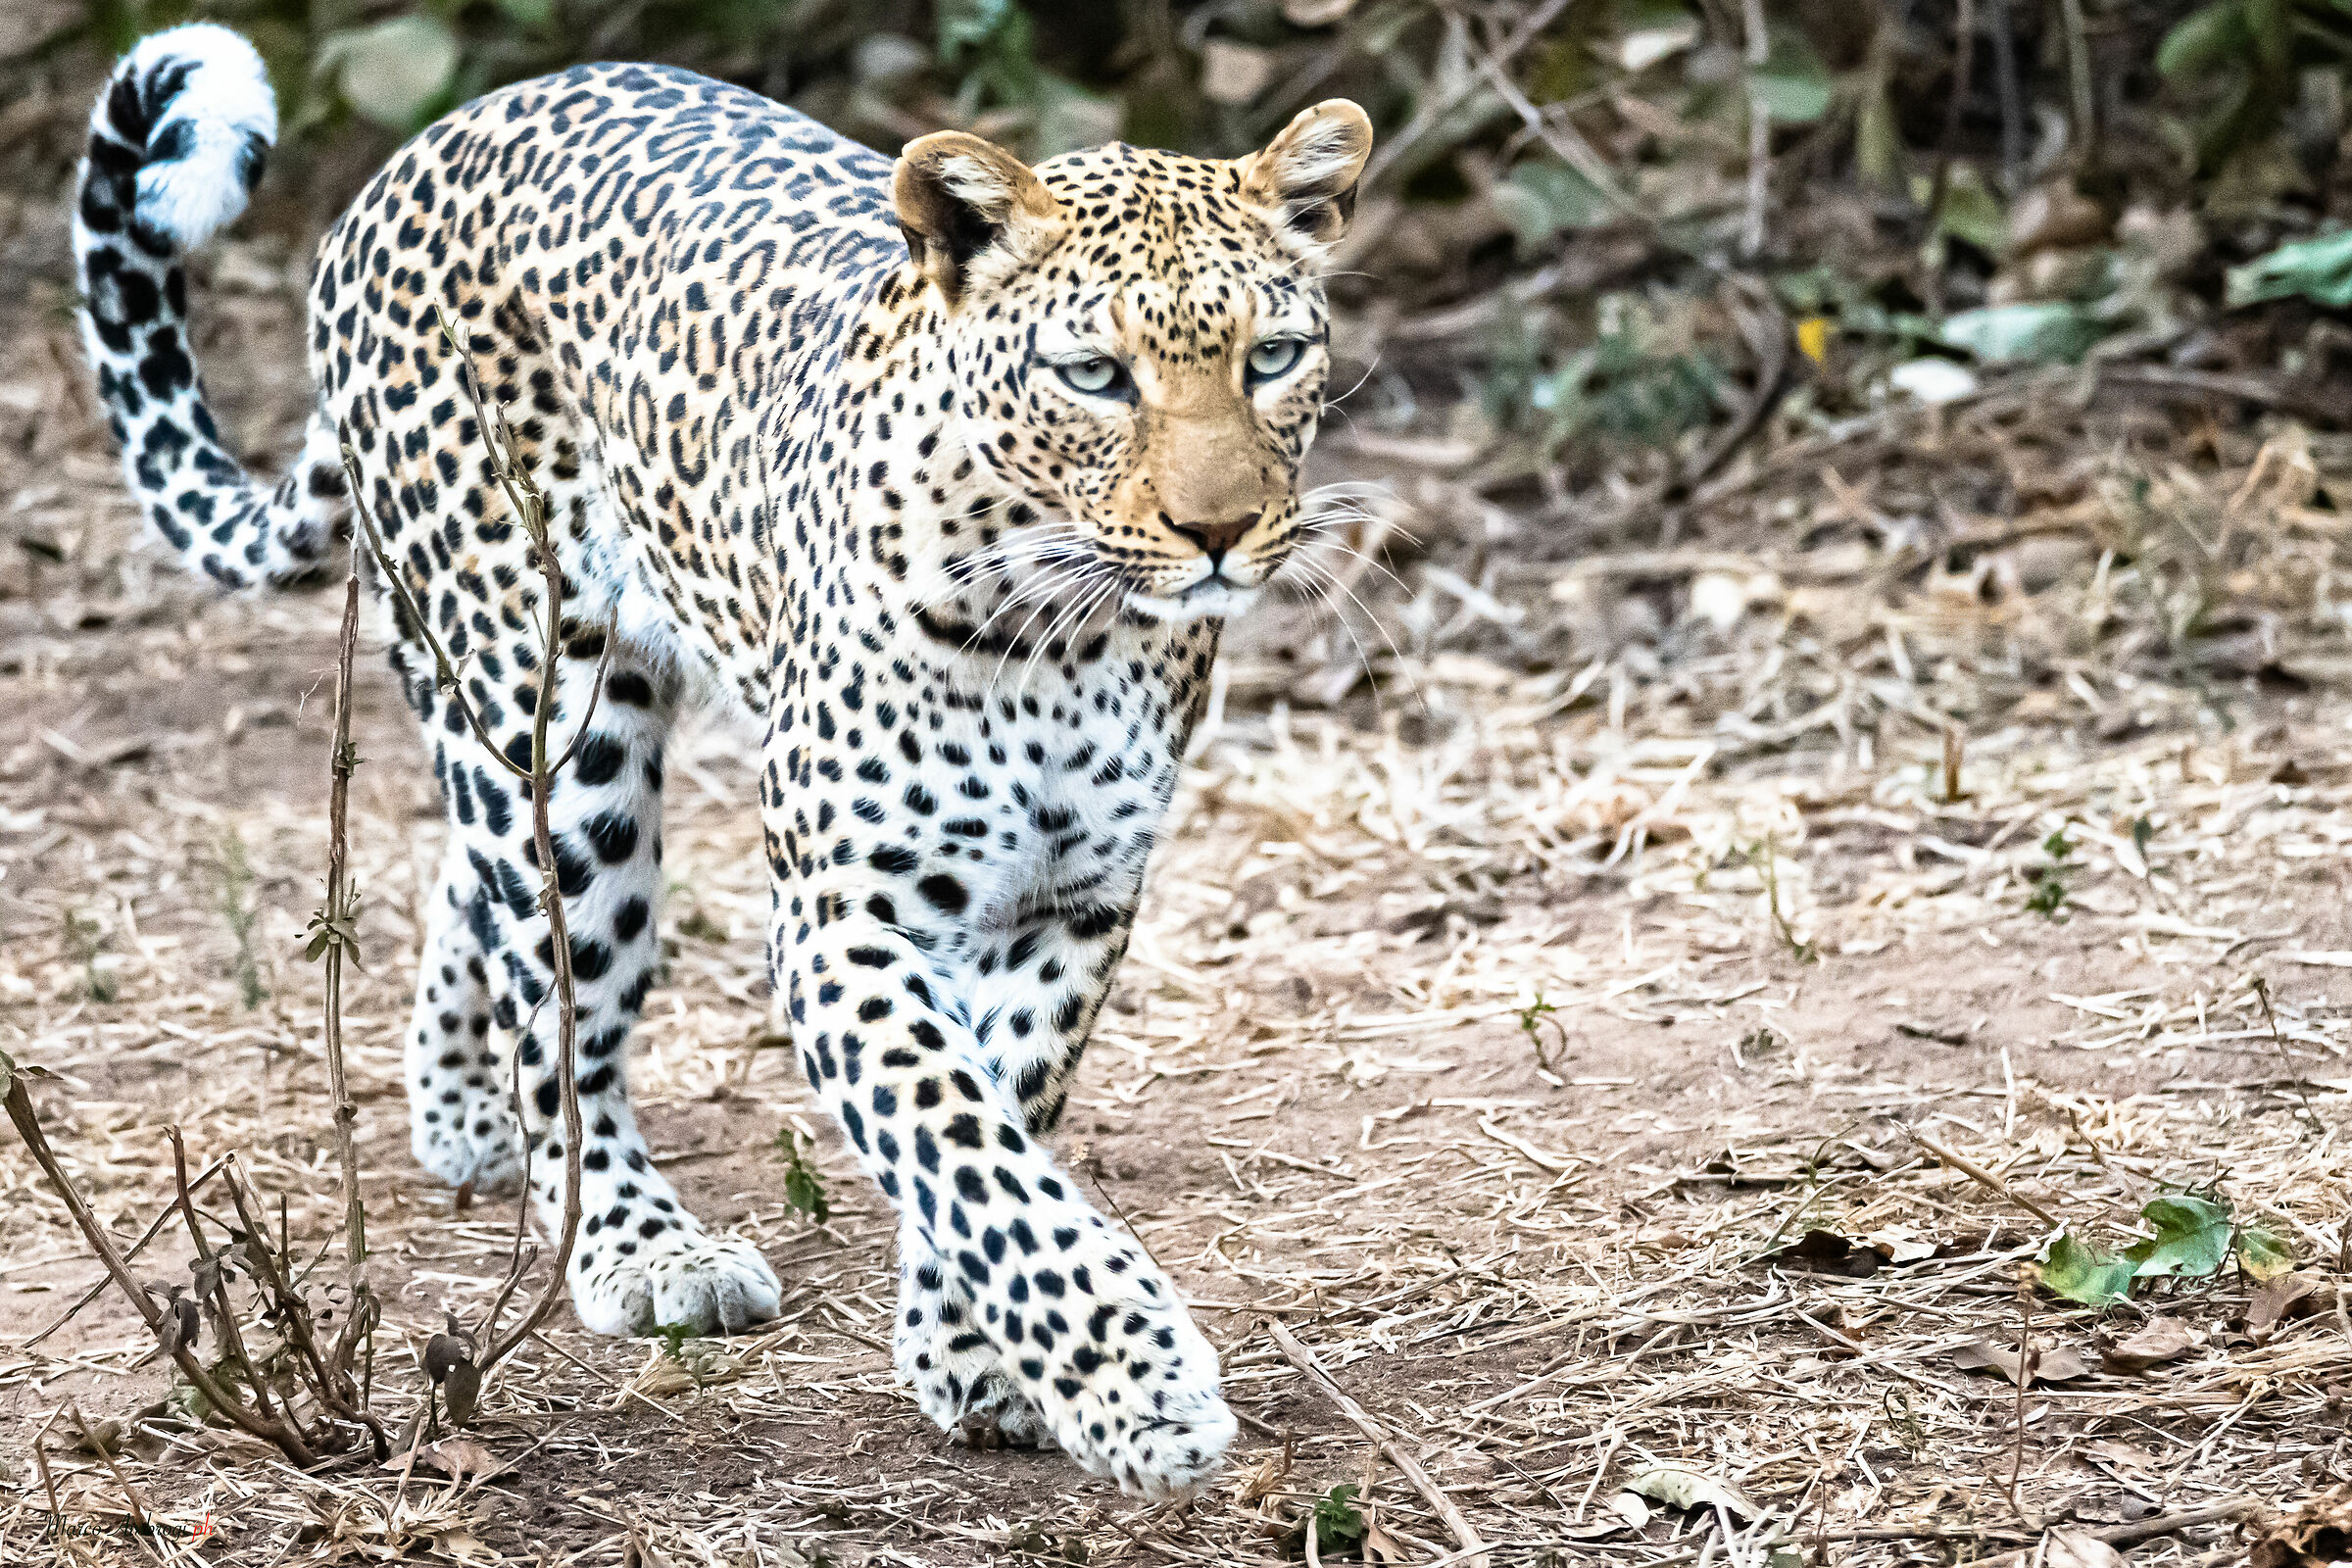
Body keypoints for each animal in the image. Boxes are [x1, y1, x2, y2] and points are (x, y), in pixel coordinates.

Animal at [72, 22, 1372, 1497]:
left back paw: (459, 1110)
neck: (1067, 632)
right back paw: (634, 1243)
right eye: (1095, 375)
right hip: (554, 722)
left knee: (476, 882)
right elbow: (961, 1138)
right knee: (556, 997)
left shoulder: (1076, 902)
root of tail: (416, 158)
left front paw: (974, 1355)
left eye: (1273, 358)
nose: (1220, 532)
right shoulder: (846, 918)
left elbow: (1004, 1112)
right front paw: (1135, 1384)